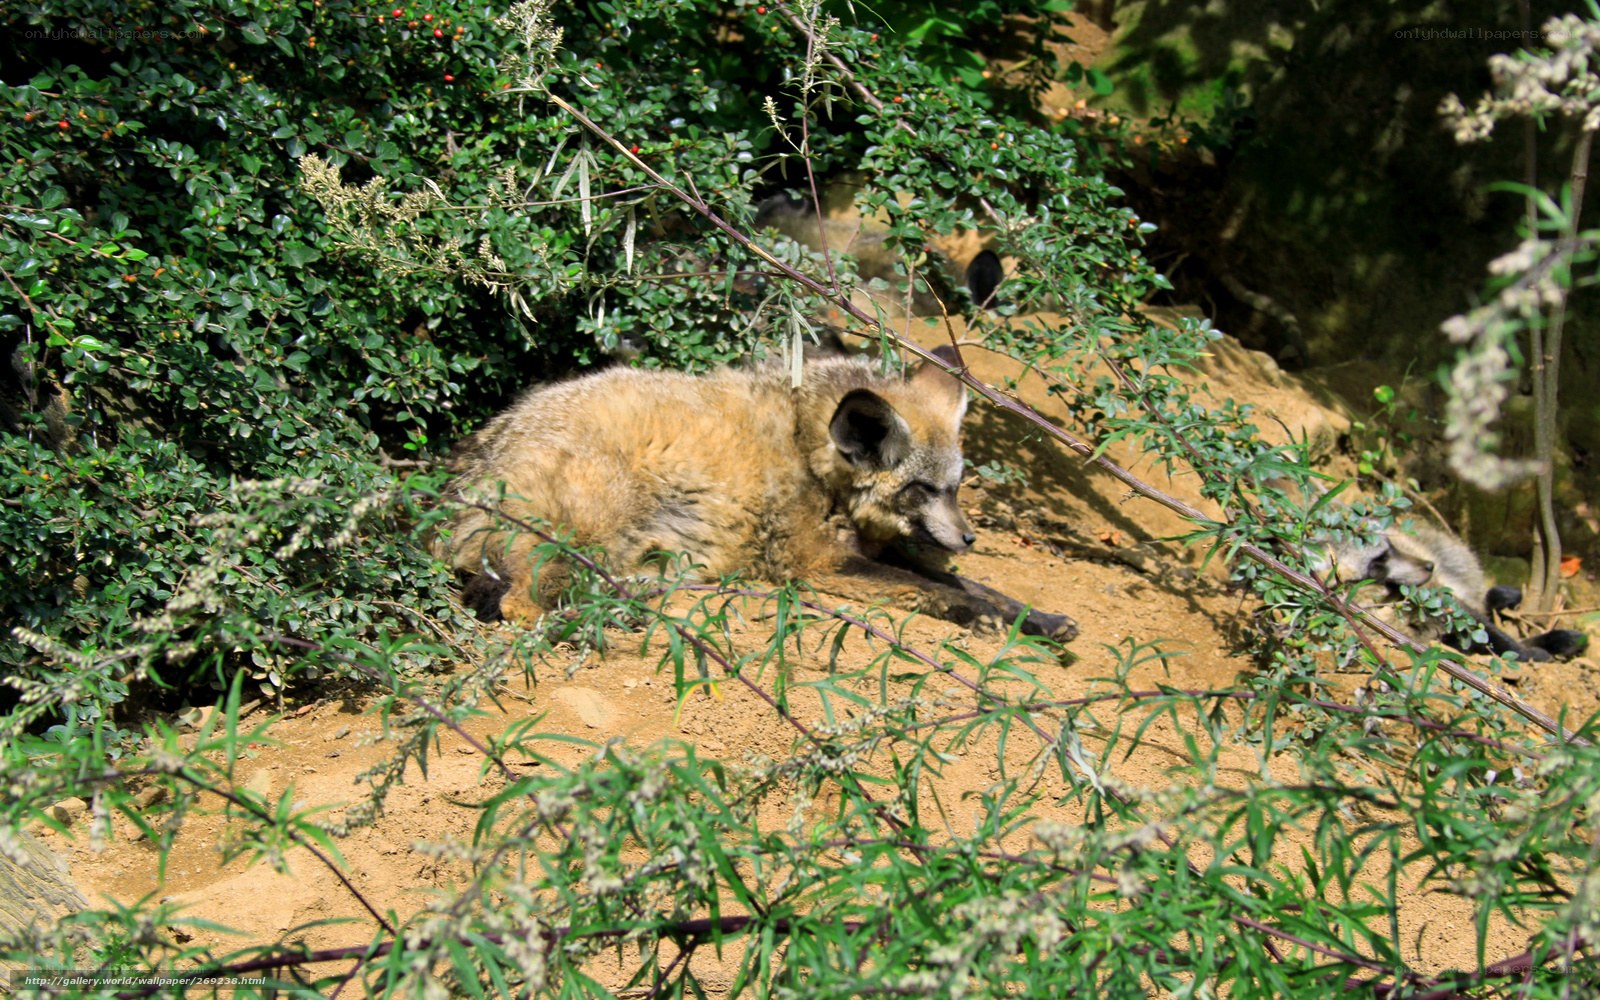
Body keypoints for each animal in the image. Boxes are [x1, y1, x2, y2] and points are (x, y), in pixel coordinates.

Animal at [435, 345, 1077, 642]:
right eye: (921, 489)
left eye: (955, 487)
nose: (968, 538)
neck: (807, 450)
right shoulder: (813, 564)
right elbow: (933, 591)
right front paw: (985, 620)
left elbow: (972, 585)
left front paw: (1040, 618)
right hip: (591, 524)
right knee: (525, 607)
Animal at [1322, 521, 1587, 662]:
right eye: (1379, 562)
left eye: (1390, 547)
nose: (1429, 566)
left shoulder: (1447, 604)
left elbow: (1495, 635)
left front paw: (1532, 650)